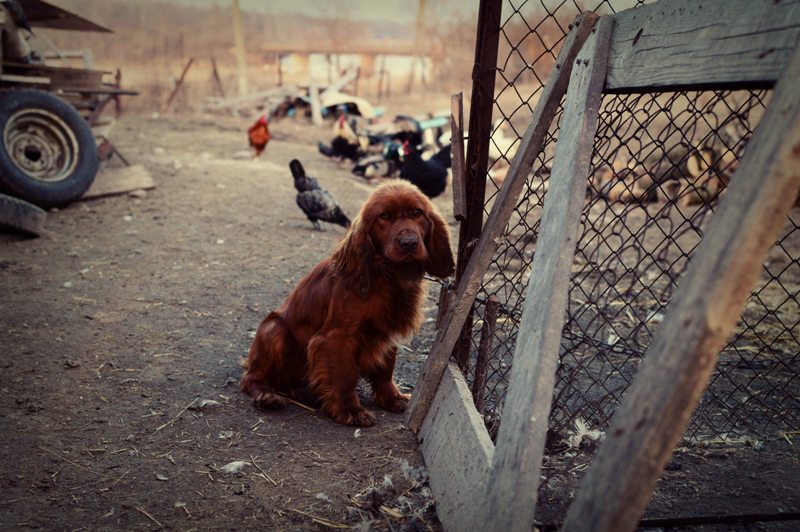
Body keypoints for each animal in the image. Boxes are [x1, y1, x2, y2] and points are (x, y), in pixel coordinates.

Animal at [242, 181, 456, 426]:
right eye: (384, 216)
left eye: (417, 213)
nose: (409, 243)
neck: (385, 275)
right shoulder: (338, 337)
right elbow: (345, 375)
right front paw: (351, 410)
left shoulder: (386, 330)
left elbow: (386, 369)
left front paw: (392, 398)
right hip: (273, 330)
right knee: (251, 378)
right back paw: (267, 396)